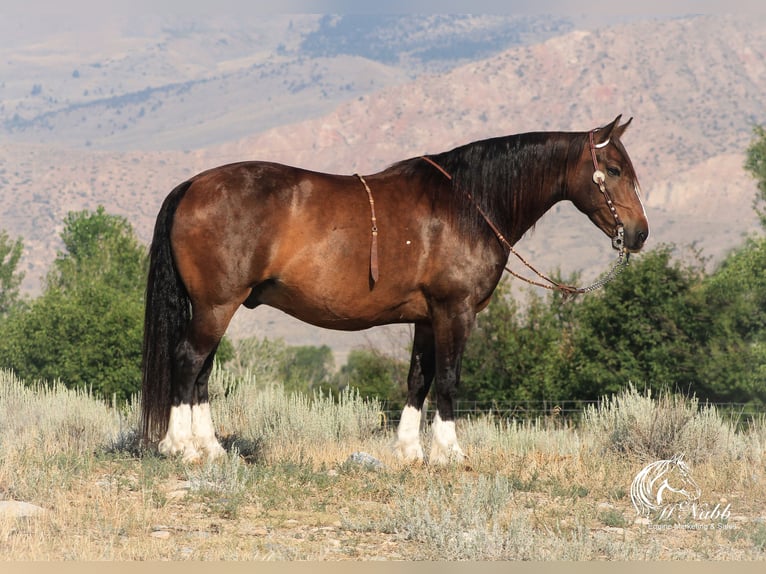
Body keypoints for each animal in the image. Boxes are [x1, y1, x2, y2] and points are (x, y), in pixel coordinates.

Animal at [141, 115, 652, 466]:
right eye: (612, 169)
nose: (640, 233)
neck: (467, 205)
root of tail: (191, 185)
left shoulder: (426, 318)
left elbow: (417, 381)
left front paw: (410, 451)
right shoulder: (455, 311)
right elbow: (447, 380)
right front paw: (450, 452)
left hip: (217, 307)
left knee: (202, 371)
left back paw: (212, 449)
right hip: (216, 306)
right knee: (187, 361)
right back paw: (180, 447)